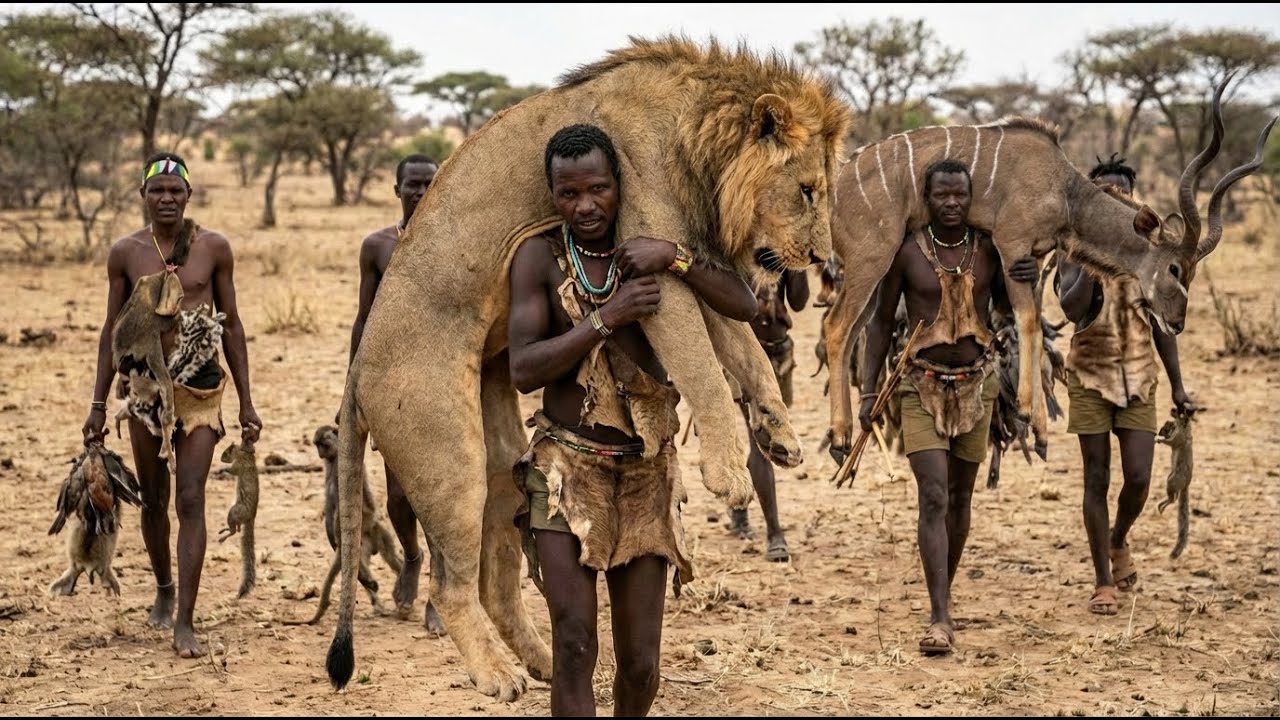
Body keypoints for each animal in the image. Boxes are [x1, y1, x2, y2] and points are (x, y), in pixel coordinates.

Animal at [326, 36, 850, 701]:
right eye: (807, 189)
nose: (821, 258)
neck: (694, 133)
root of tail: (356, 369)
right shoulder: (652, 255)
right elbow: (704, 368)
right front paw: (730, 472)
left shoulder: (687, 257)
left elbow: (744, 349)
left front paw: (779, 434)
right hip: (446, 452)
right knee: (451, 586)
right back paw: (497, 674)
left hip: (502, 461)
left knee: (497, 581)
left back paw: (541, 661)